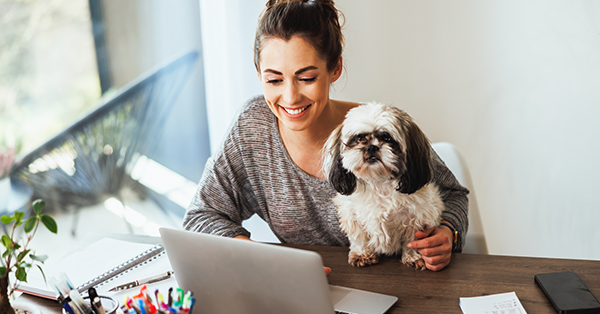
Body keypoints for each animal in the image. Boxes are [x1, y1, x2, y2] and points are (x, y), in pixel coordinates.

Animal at [324, 102, 446, 270]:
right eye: (359, 137)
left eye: (387, 138)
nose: (372, 147)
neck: (378, 180)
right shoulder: (352, 216)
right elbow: (359, 237)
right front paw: (362, 254)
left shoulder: (417, 218)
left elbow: (412, 240)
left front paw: (413, 257)